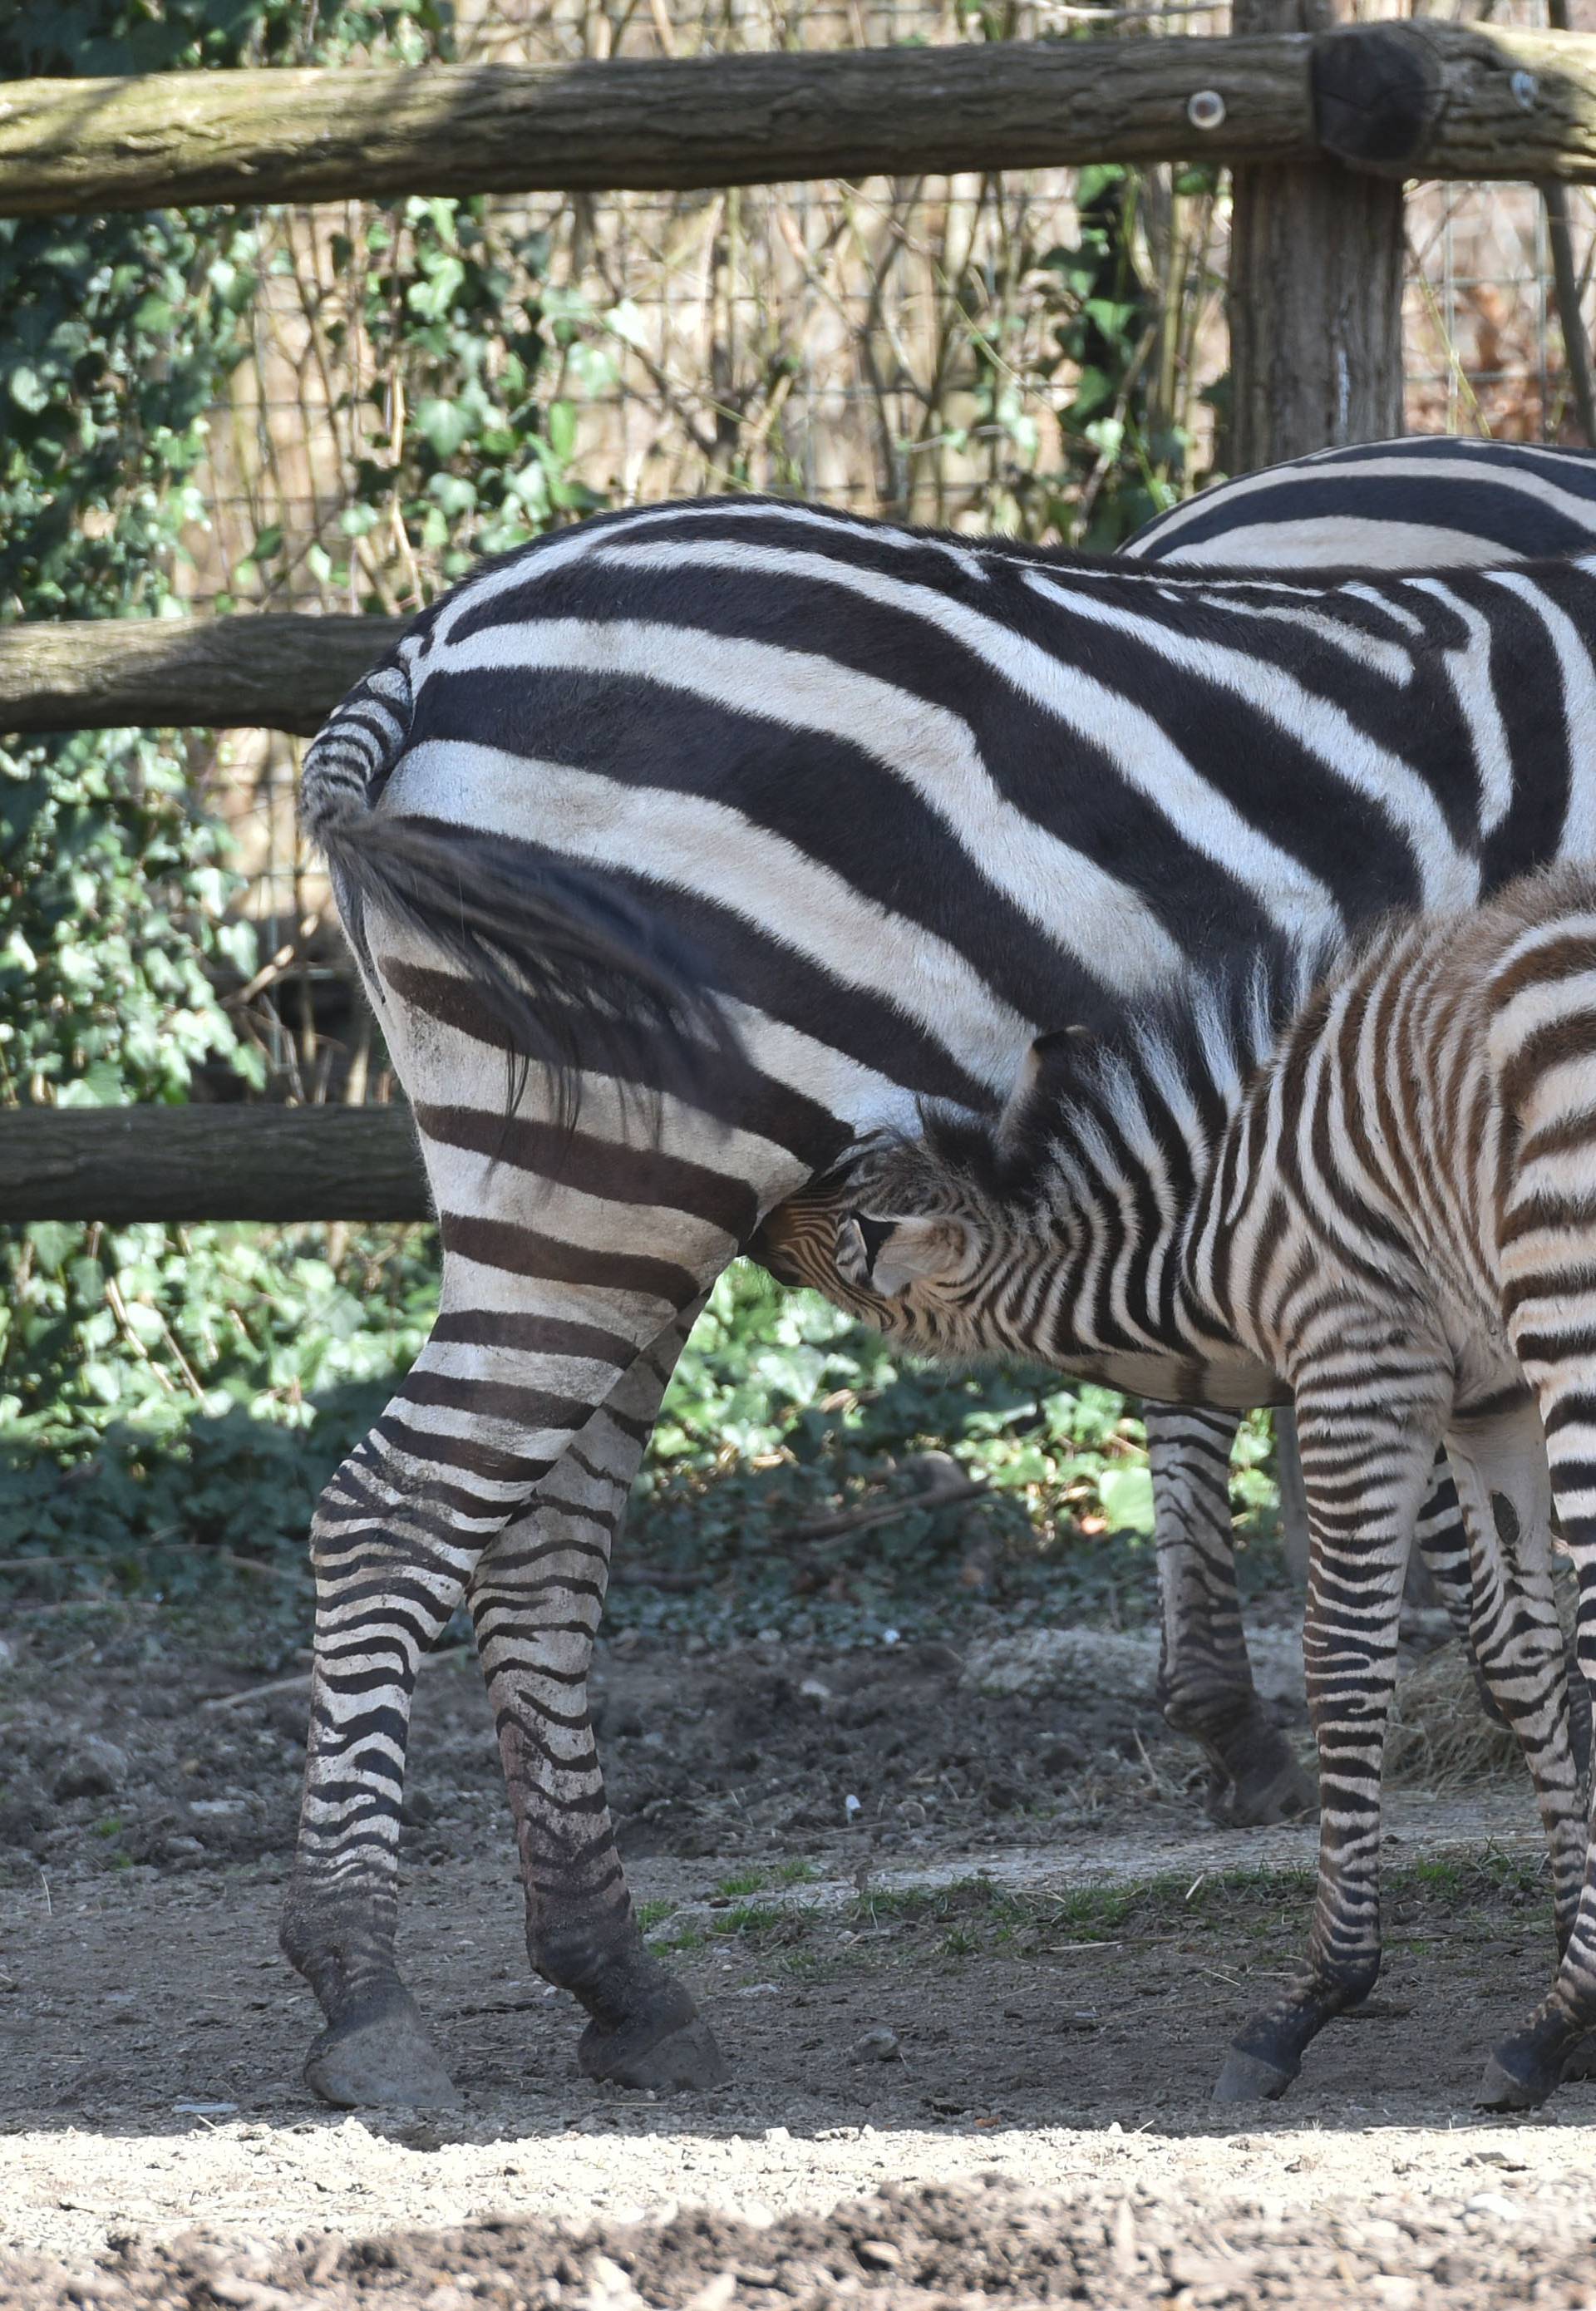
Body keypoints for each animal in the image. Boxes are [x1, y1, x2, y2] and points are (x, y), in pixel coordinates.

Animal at [835, 869, 1596, 2116]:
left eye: (843, 1218)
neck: (1217, 1221)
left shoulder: (1360, 1358)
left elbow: (1345, 1658)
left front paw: (1317, 1997)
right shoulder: (1490, 1405)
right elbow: (1534, 1662)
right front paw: (1568, 1998)